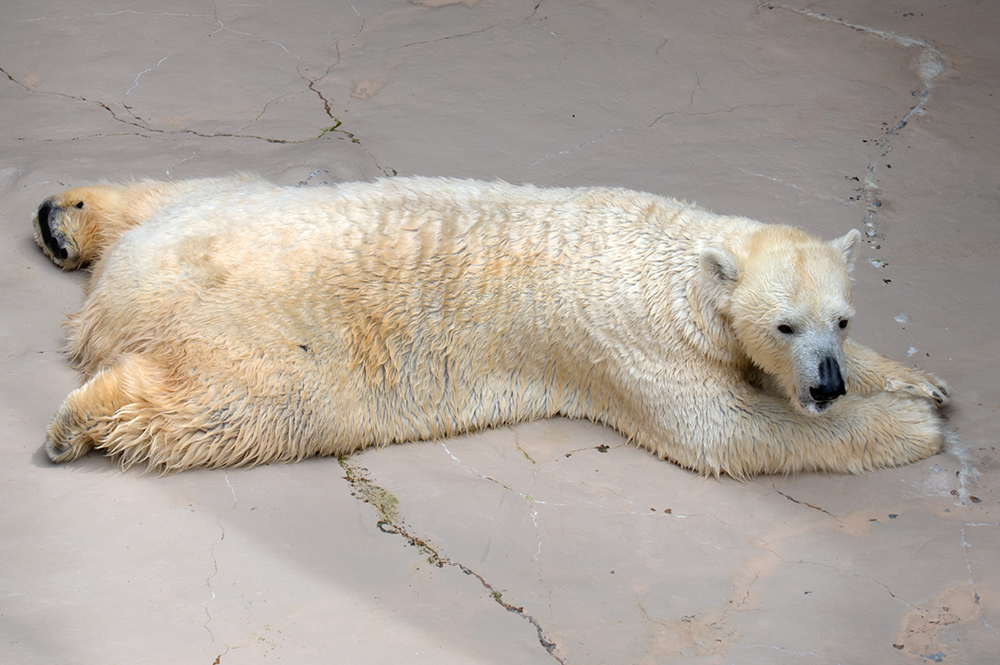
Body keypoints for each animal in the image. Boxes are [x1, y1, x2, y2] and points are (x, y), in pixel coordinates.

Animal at [33, 174, 952, 474]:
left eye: (841, 319)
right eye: (787, 326)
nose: (826, 385)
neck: (674, 259)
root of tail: (116, 298)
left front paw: (923, 381)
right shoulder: (636, 346)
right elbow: (725, 430)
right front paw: (914, 426)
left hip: (224, 202)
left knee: (175, 188)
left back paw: (65, 217)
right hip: (272, 344)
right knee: (231, 409)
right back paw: (75, 424)